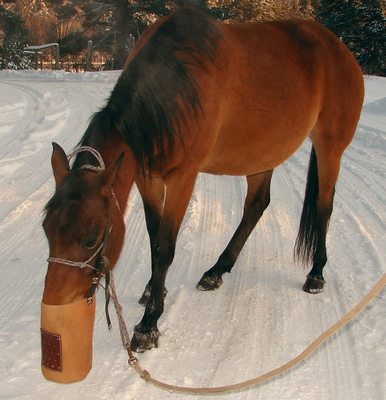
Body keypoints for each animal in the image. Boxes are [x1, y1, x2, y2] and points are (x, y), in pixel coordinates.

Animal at [43, 4, 364, 352]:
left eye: (90, 240)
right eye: (47, 230)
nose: (56, 302)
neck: (175, 88)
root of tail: (340, 48)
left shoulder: (183, 178)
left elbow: (165, 247)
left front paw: (149, 324)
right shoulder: (147, 177)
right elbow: (154, 236)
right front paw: (153, 289)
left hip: (330, 148)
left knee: (323, 206)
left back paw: (316, 274)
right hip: (262, 156)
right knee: (256, 206)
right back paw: (217, 270)